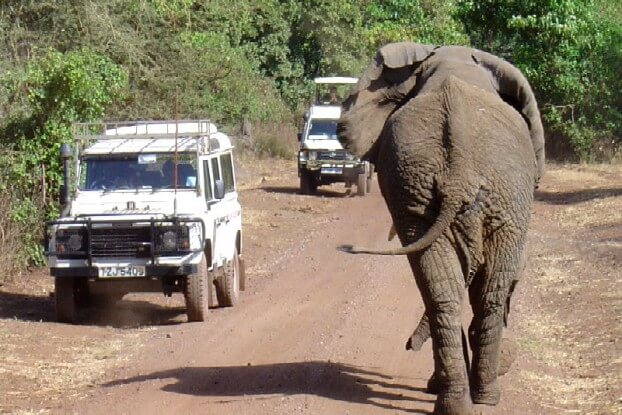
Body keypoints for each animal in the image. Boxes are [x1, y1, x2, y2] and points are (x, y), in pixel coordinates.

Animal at [342, 44, 544, 414]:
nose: (408, 345)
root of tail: (458, 173)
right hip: (476, 196)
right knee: (480, 294)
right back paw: (481, 397)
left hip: (442, 194)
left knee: (448, 295)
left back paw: (463, 400)